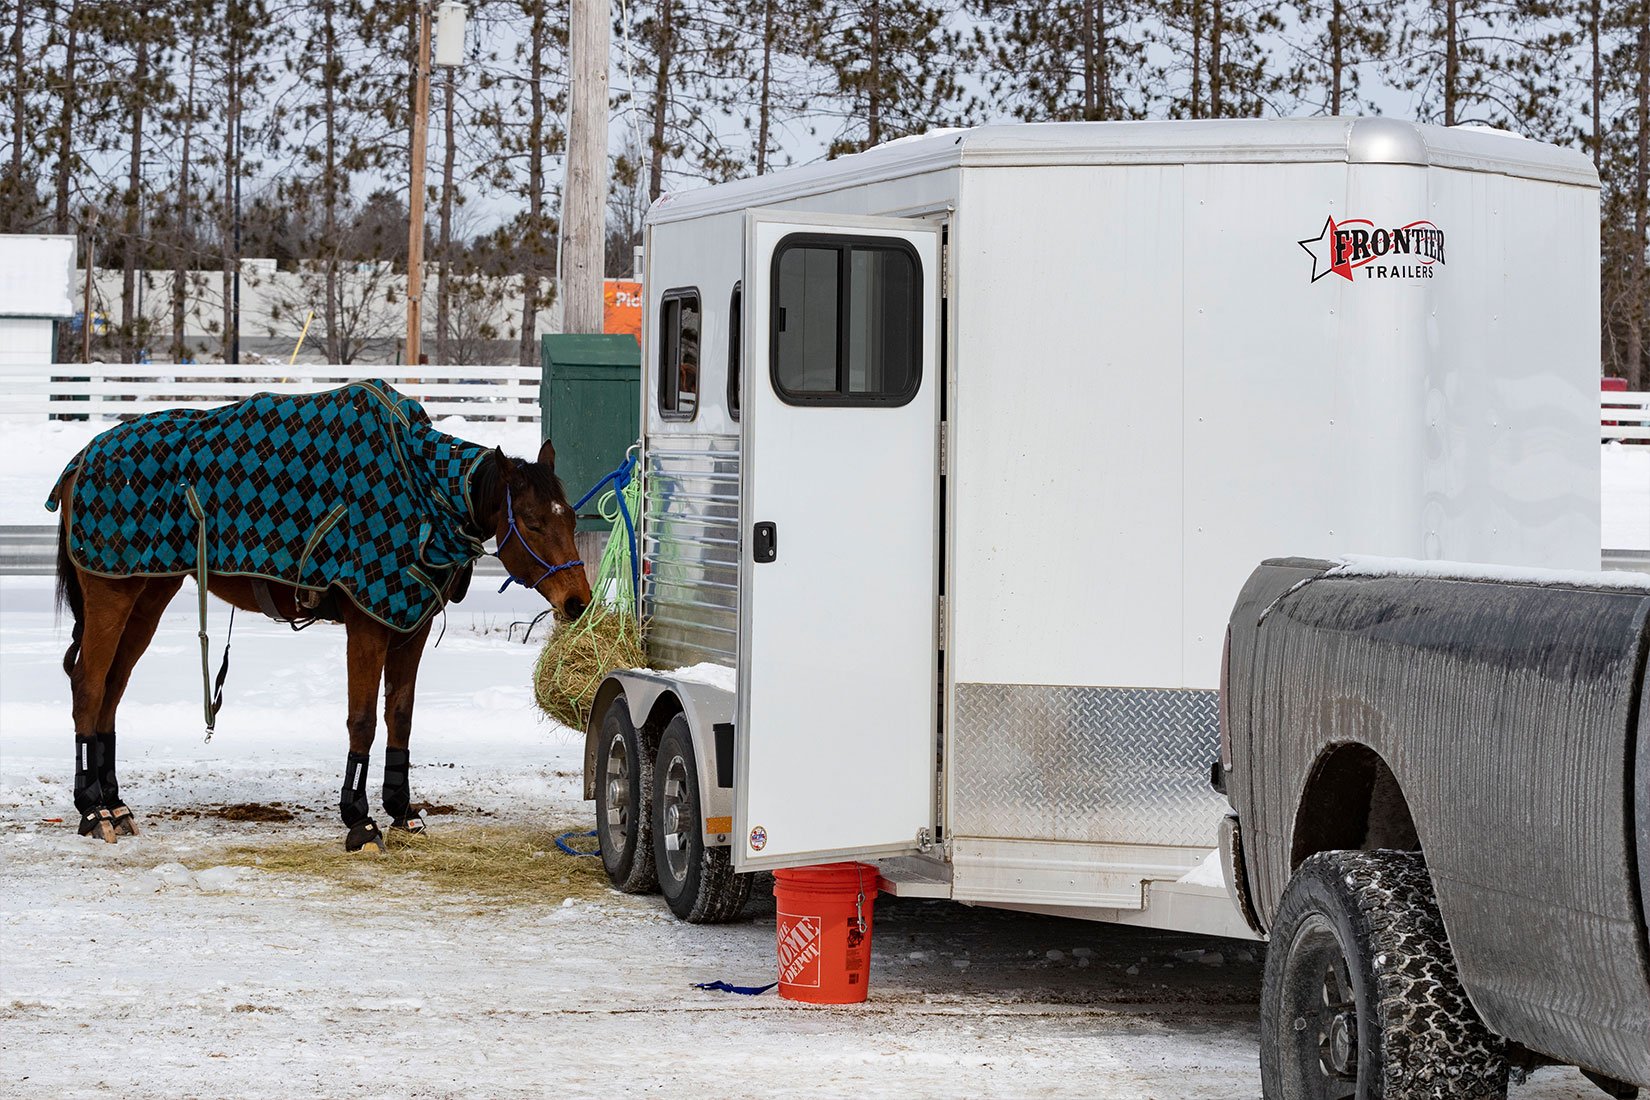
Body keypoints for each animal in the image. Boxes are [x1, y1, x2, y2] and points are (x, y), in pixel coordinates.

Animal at [49, 385, 594, 850]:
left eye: (570, 516)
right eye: (532, 522)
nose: (578, 602)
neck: (420, 489)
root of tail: (81, 459)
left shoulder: (409, 627)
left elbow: (400, 717)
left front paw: (402, 810)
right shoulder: (369, 624)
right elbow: (363, 722)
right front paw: (360, 818)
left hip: (148, 594)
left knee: (112, 689)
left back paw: (114, 803)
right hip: (111, 596)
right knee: (89, 685)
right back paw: (91, 810)